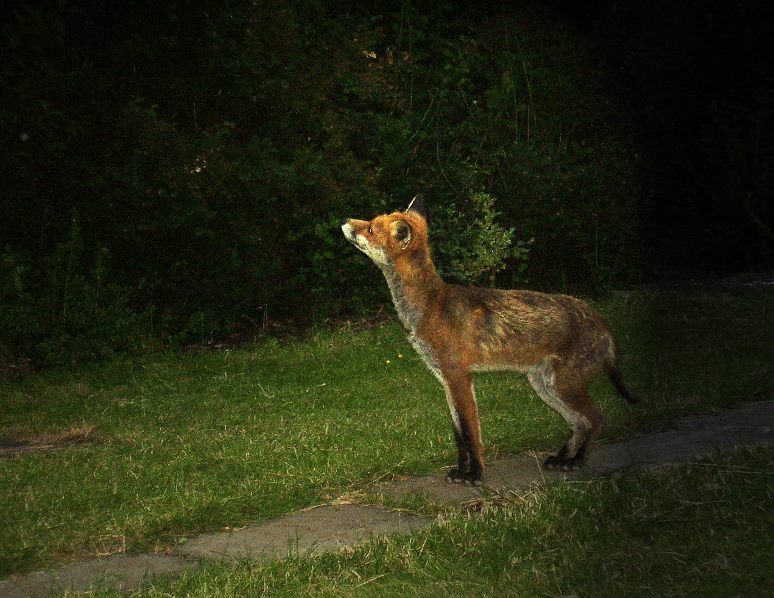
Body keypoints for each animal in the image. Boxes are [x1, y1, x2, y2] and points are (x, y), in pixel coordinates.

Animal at [342, 197, 640, 488]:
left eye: (370, 228)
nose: (345, 219)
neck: (429, 305)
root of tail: (601, 320)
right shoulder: (446, 381)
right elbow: (459, 436)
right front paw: (461, 471)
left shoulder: (459, 377)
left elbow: (471, 434)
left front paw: (475, 475)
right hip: (544, 386)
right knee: (579, 424)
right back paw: (562, 458)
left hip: (563, 386)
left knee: (596, 419)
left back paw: (576, 460)